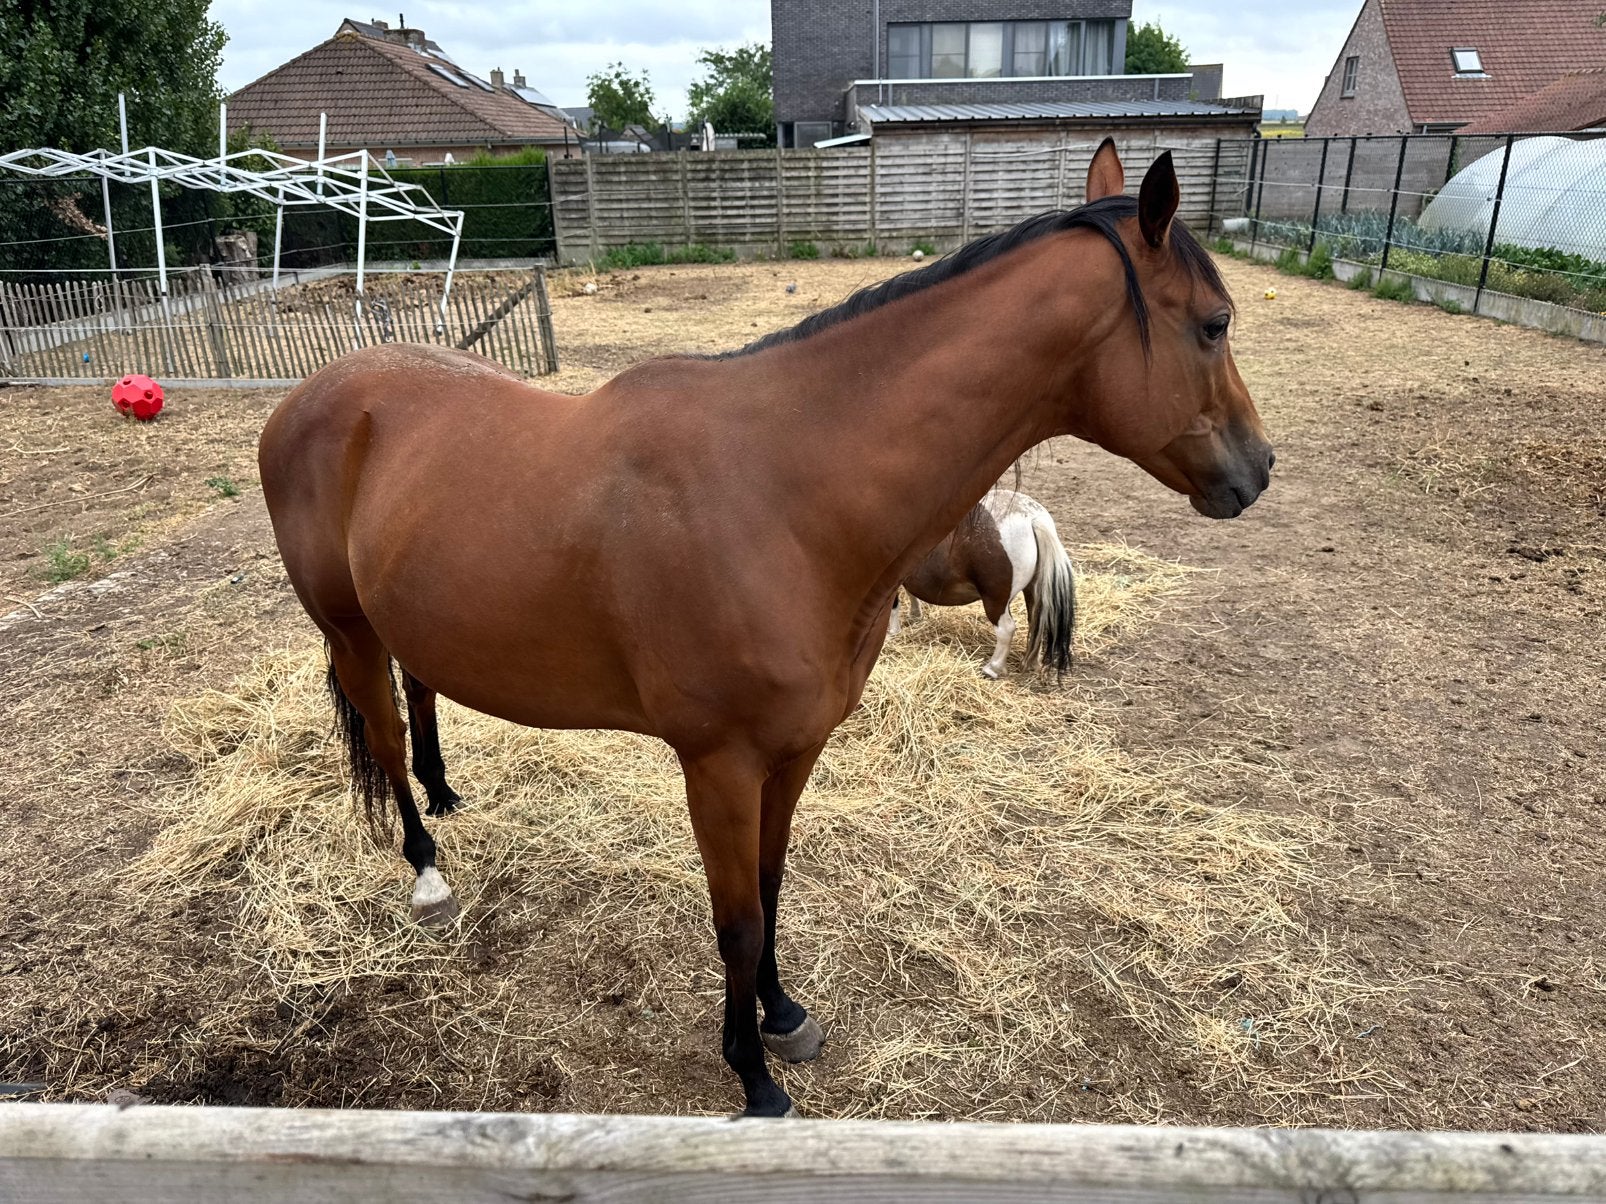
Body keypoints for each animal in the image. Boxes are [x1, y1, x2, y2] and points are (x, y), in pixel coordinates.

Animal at [890, 489, 1076, 681]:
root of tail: (1032, 517)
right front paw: (915, 615)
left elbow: (894, 605)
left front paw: (893, 632)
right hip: (1033, 591)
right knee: (1036, 621)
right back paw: (1029, 663)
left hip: (996, 599)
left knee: (1006, 629)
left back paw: (992, 668)